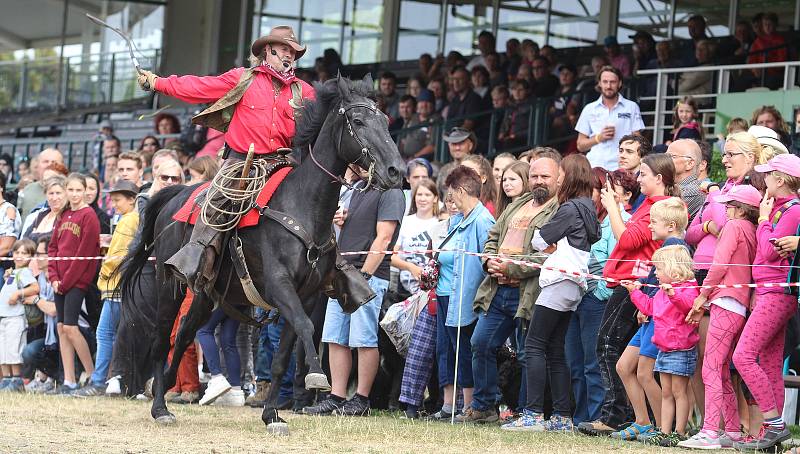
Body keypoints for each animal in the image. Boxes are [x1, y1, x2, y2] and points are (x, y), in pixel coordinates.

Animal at [120, 76, 406, 434]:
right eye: (358, 121)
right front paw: (316, 376)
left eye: (385, 120)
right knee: (162, 337)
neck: (302, 206)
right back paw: (160, 407)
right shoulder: (279, 285)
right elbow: (304, 328)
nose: (396, 171)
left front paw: (272, 415)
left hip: (207, 294)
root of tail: (174, 194)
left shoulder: (306, 295)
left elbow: (285, 353)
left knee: (185, 332)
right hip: (168, 286)